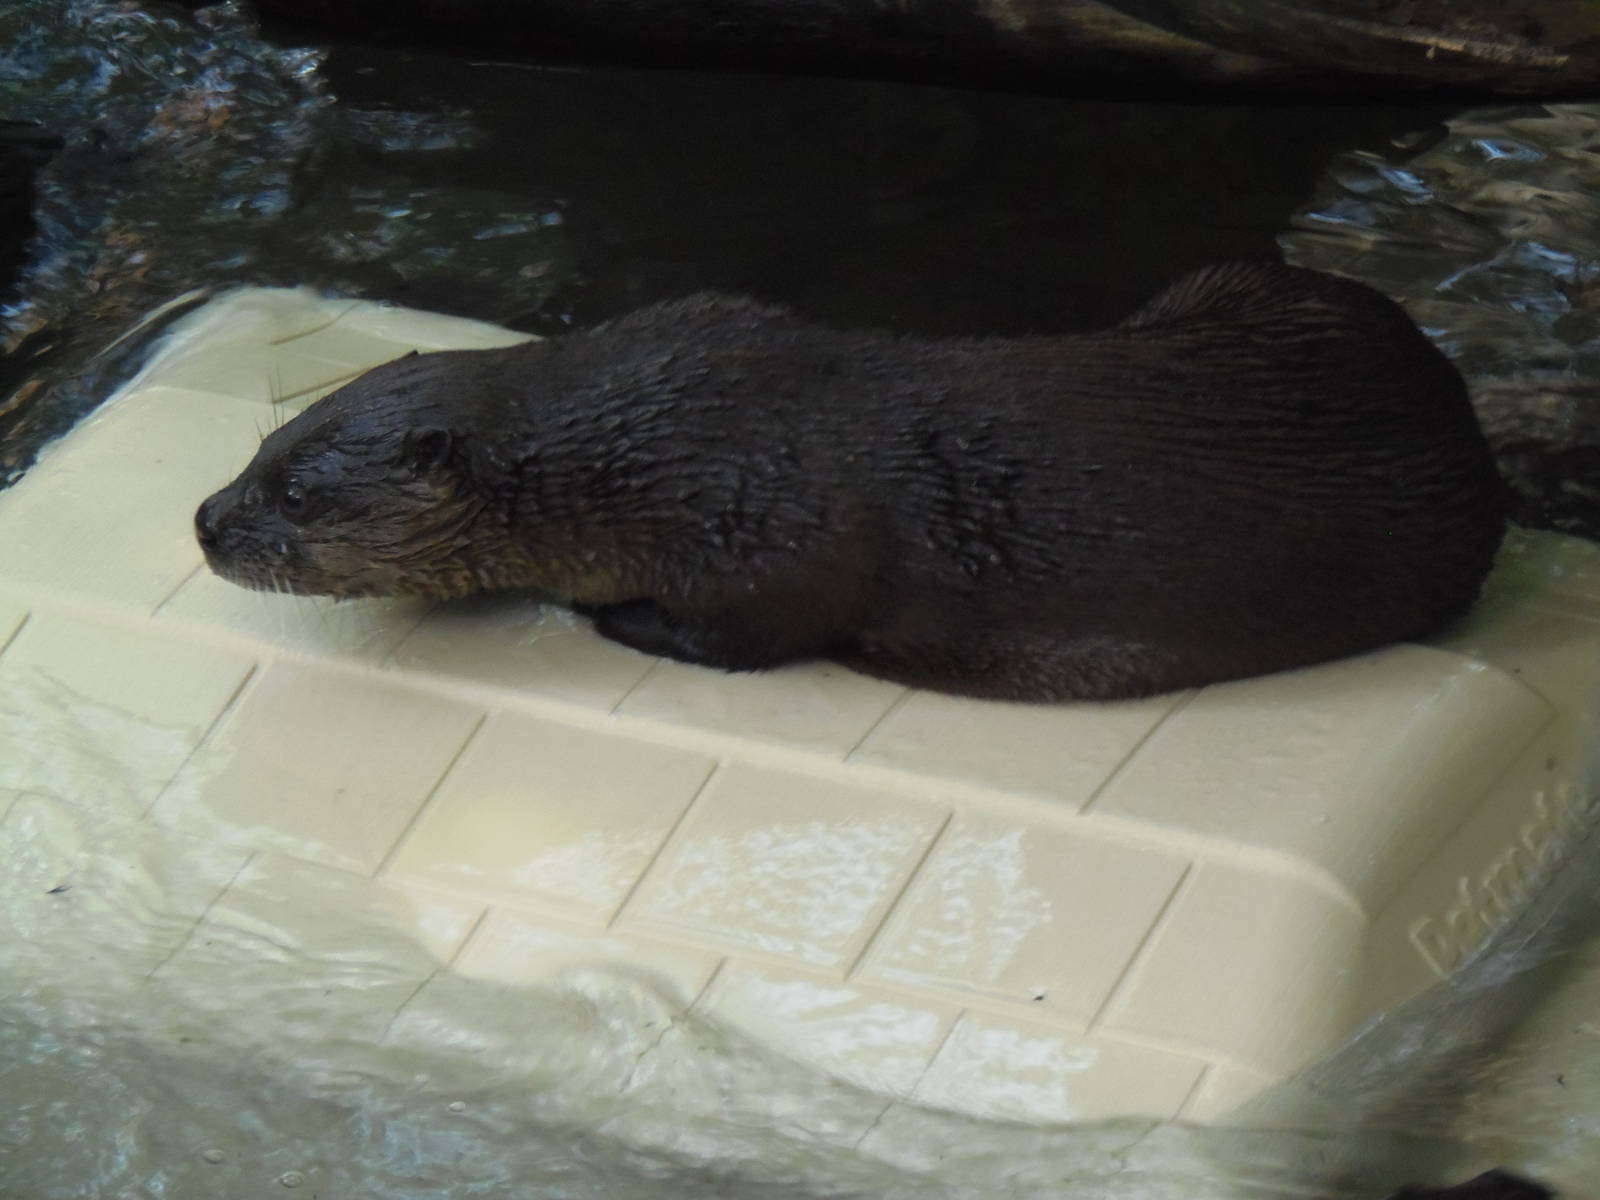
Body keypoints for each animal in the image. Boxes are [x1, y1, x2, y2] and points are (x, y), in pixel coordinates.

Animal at [194, 261, 1505, 701]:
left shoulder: (769, 549)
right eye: (262, 447)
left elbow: (740, 639)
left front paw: (607, 616)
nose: (205, 521)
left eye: (297, 497)